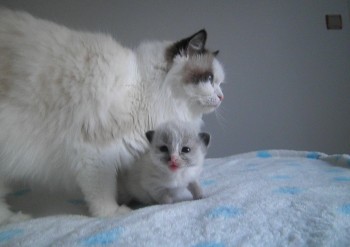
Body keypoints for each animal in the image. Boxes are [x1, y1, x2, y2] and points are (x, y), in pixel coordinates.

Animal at [0, 7, 224, 224]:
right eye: (209, 79)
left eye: (219, 82)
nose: (221, 97)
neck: (143, 88)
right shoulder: (96, 154)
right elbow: (103, 191)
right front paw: (113, 213)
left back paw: (14, 219)